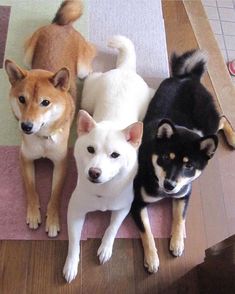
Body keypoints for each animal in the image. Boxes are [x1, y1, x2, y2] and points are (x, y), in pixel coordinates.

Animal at [4, 0, 95, 238]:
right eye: (22, 99)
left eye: (45, 102)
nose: (26, 126)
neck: (43, 138)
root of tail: (61, 26)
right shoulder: (25, 158)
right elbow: (31, 189)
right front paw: (33, 214)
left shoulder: (61, 163)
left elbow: (55, 195)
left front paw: (53, 220)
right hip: (27, 56)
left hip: (83, 69)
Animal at [62, 35, 154, 282]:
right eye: (90, 149)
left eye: (115, 155)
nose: (94, 172)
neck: (103, 191)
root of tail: (124, 69)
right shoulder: (75, 210)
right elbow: (73, 242)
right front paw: (71, 265)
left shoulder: (123, 207)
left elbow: (112, 229)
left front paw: (105, 248)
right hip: (88, 96)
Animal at [131, 50, 219, 274]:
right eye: (165, 158)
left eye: (189, 166)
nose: (170, 185)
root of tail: (189, 77)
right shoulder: (137, 204)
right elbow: (147, 233)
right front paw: (152, 258)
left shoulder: (184, 194)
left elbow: (180, 219)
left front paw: (177, 243)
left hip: (208, 124)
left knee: (221, 121)